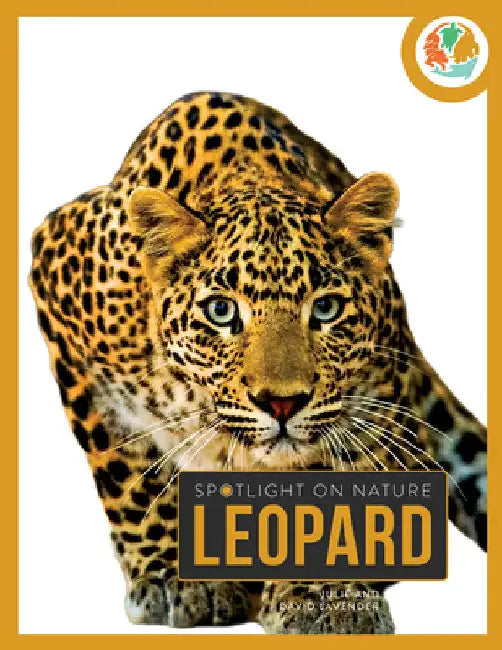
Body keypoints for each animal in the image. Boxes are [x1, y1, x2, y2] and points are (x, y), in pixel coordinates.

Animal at [29, 91, 486, 634]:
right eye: (221, 311)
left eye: (326, 308)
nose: (282, 404)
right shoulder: (56, 275)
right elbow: (132, 473)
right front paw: (174, 577)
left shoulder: (375, 393)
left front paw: (324, 594)